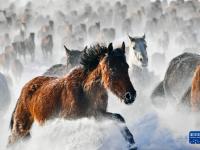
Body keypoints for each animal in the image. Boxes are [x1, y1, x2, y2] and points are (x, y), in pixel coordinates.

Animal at [7, 42, 138, 150]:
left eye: (127, 66)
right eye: (112, 69)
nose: (130, 96)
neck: (84, 90)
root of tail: (24, 90)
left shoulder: (97, 114)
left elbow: (118, 118)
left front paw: (131, 143)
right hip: (21, 129)